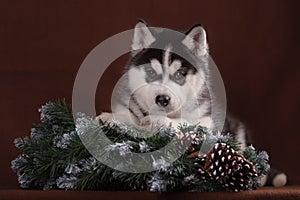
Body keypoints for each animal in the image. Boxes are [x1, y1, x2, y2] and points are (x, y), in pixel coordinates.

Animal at [97, 20, 288, 188]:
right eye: (151, 72)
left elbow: (184, 123)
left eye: (179, 74)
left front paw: (157, 120)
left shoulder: (206, 123)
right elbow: (129, 114)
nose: (162, 99)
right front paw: (110, 117)